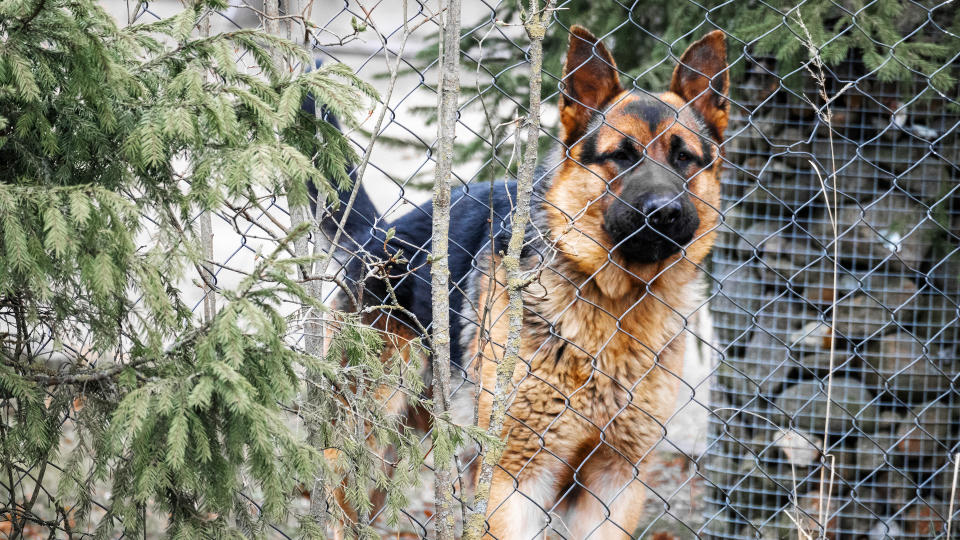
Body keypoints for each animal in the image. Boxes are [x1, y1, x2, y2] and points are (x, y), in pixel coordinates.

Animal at [316, 24, 728, 536]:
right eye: (620, 156)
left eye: (684, 158)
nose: (664, 212)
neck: (612, 302)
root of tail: (378, 237)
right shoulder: (513, 478)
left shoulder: (616, 484)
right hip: (364, 444)